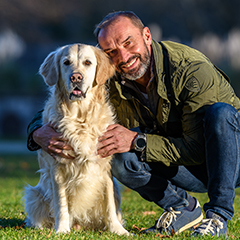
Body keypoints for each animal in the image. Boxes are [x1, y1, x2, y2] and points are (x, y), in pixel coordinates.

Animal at [23, 42, 129, 234]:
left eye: (87, 62)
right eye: (66, 62)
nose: (76, 77)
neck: (81, 117)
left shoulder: (105, 167)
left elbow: (109, 204)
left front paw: (118, 230)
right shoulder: (57, 169)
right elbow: (61, 204)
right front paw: (61, 230)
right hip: (34, 195)